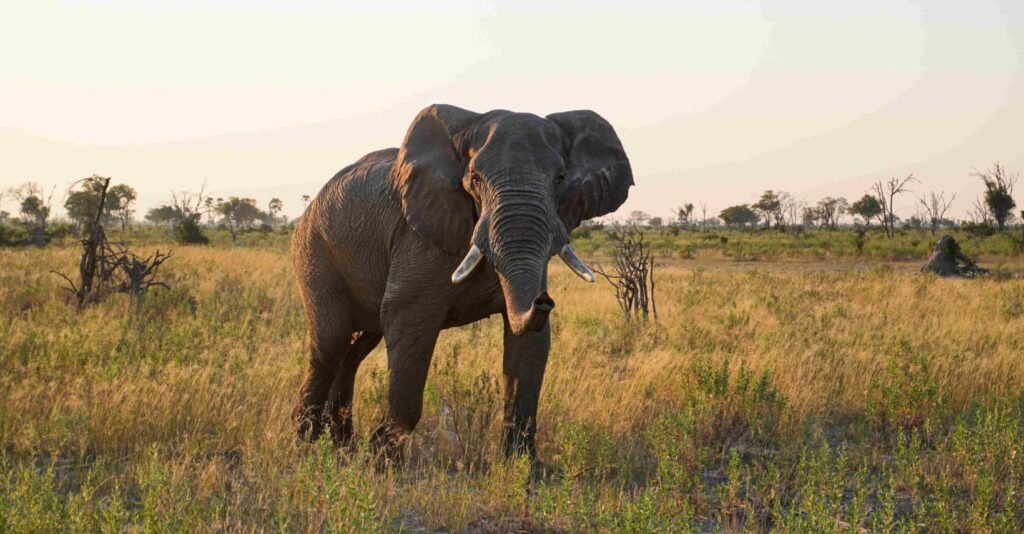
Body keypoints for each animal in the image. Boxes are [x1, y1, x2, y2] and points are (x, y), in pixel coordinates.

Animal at [291, 104, 633, 459]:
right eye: (474, 180)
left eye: (560, 179)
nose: (544, 301)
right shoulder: (419, 237)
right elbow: (409, 321)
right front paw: (381, 460)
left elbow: (529, 346)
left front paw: (522, 466)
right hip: (315, 251)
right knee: (331, 342)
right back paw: (308, 441)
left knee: (357, 346)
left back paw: (340, 443)